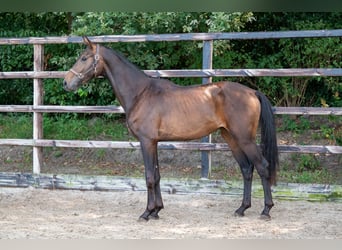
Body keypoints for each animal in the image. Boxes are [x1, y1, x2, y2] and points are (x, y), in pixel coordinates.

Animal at [63, 36, 278, 221]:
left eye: (83, 58)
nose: (66, 82)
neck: (141, 93)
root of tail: (252, 92)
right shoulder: (154, 142)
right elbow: (157, 176)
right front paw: (156, 211)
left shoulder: (146, 141)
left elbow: (149, 176)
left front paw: (146, 213)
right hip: (231, 138)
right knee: (247, 169)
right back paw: (241, 209)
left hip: (245, 139)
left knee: (262, 166)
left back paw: (266, 210)